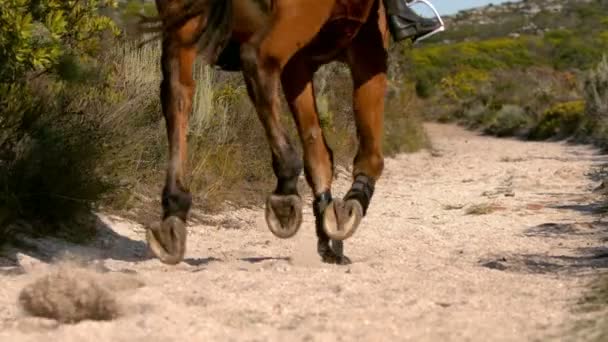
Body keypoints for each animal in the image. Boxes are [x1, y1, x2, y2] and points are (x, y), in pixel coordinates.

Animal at [143, 0, 390, 264]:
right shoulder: (368, 49)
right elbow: (370, 149)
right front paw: (349, 209)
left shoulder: (299, 62)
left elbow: (317, 151)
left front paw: (327, 241)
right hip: (296, 18)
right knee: (258, 60)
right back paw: (285, 187)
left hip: (182, 26)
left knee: (178, 93)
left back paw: (173, 211)